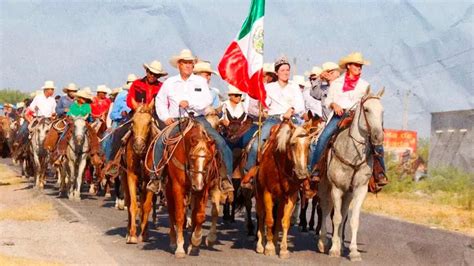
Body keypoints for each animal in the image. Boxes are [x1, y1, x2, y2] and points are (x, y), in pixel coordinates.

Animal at [120, 103, 157, 244]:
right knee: (129, 200)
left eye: (149, 122)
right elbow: (133, 205)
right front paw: (132, 235)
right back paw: (128, 231)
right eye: (133, 122)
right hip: (124, 176)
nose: (138, 146)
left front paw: (144, 234)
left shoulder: (151, 180)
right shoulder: (131, 176)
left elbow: (146, 206)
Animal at [254, 118, 316, 258]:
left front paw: (283, 249)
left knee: (278, 218)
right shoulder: (267, 193)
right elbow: (269, 220)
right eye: (292, 144)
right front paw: (269, 248)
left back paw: (274, 241)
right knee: (261, 216)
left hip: (281, 199)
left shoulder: (291, 195)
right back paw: (261, 244)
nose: (302, 174)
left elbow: (284, 222)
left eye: (308, 145)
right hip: (259, 195)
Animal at [314, 88, 386, 262]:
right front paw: (333, 249)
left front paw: (353, 251)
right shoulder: (336, 188)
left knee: (344, 212)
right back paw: (323, 242)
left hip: (348, 194)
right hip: (324, 187)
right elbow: (336, 218)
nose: (378, 137)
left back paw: (339, 243)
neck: (352, 153)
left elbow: (353, 219)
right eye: (366, 109)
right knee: (325, 209)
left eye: (382, 111)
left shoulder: (360, 189)